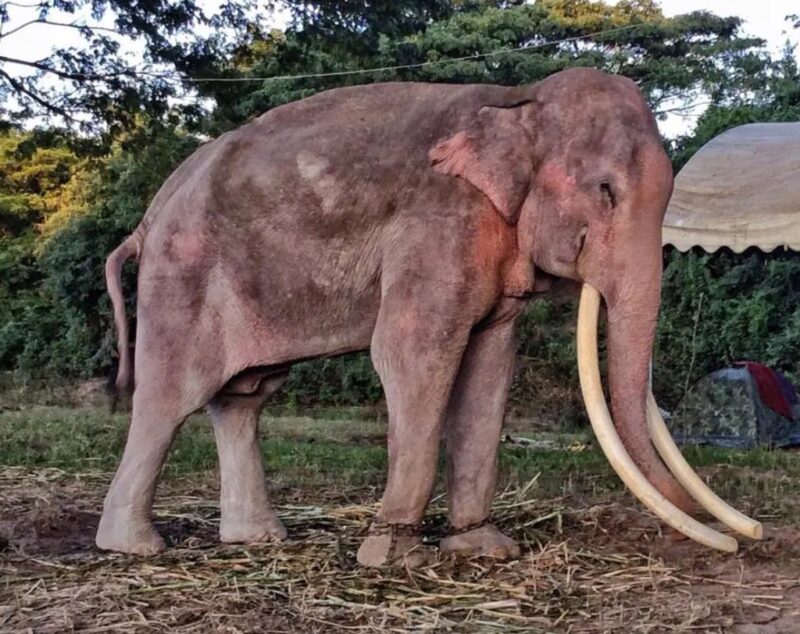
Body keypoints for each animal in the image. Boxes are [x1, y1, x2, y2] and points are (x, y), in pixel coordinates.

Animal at [96, 67, 732, 566]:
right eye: (605, 190)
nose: (738, 540)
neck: (518, 99)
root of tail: (148, 217)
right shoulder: (437, 223)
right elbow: (414, 354)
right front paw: (395, 557)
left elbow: (490, 365)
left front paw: (485, 549)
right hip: (183, 274)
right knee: (171, 396)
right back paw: (136, 547)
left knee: (243, 397)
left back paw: (259, 540)